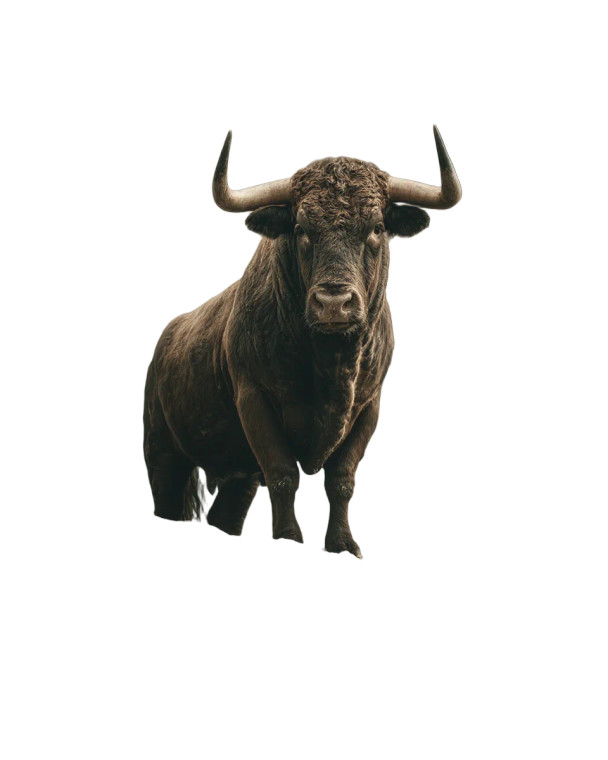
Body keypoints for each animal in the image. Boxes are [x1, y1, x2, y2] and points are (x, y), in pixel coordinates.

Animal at [143, 127, 461, 557]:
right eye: (300, 228)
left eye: (377, 227)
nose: (333, 303)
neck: (331, 362)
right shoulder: (254, 399)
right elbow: (283, 474)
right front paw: (289, 538)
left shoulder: (368, 409)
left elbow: (341, 481)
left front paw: (343, 544)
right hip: (163, 456)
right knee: (169, 501)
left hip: (237, 476)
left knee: (226, 515)